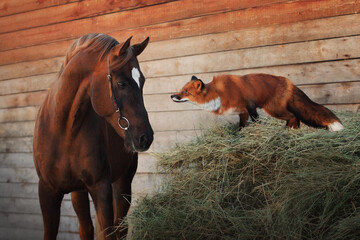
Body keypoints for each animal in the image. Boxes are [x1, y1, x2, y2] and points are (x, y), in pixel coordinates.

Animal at [32, 33, 153, 240]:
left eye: (142, 82)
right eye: (122, 83)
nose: (146, 137)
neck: (64, 131)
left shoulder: (101, 189)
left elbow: (108, 232)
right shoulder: (47, 192)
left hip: (123, 182)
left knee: (120, 227)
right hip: (78, 192)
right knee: (86, 228)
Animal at [170, 74, 344, 132]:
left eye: (186, 92)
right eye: (181, 90)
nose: (172, 96)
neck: (218, 94)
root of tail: (289, 82)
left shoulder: (249, 104)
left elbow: (255, 120)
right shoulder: (242, 111)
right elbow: (241, 126)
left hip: (273, 109)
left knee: (293, 116)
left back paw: (287, 130)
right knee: (294, 117)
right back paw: (290, 130)